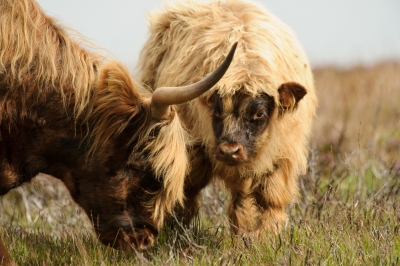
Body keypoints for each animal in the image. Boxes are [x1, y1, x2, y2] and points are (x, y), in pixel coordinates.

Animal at [138, 0, 318, 237]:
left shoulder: (283, 155)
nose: (229, 151)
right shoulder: (195, 148)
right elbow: (190, 189)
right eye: (216, 111)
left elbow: (270, 198)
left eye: (259, 114)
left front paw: (265, 237)